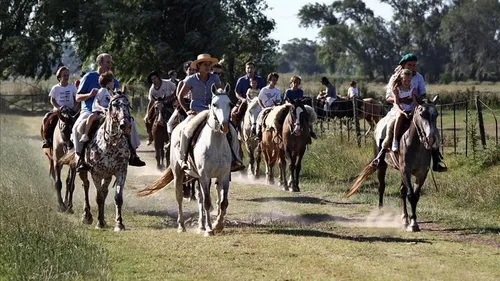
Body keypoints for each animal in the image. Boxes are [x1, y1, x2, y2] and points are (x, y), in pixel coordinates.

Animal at [138, 84, 233, 235]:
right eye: (214, 104)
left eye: (230, 104)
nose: (224, 126)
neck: (215, 144)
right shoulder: (204, 175)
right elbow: (207, 202)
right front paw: (209, 229)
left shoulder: (223, 175)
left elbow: (223, 202)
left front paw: (217, 225)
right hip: (179, 173)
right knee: (180, 196)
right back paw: (181, 225)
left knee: (200, 197)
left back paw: (201, 225)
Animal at [346, 96, 440, 232]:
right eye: (422, 114)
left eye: (436, 115)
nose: (431, 139)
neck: (415, 143)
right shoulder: (405, 170)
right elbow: (410, 195)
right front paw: (413, 224)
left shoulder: (421, 173)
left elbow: (415, 195)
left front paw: (412, 221)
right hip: (382, 165)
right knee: (381, 186)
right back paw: (380, 212)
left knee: (402, 191)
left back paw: (404, 218)